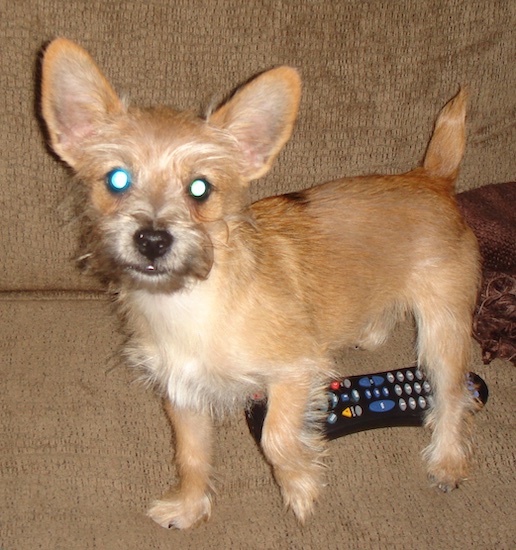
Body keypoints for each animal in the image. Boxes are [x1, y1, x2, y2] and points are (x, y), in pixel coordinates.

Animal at [40, 37, 480, 532]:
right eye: (118, 179)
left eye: (200, 188)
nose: (152, 239)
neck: (192, 303)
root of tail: (433, 178)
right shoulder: (183, 393)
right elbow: (191, 455)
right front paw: (189, 506)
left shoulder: (295, 371)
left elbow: (276, 437)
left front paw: (301, 486)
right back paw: (369, 333)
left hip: (444, 330)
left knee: (452, 394)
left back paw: (446, 460)